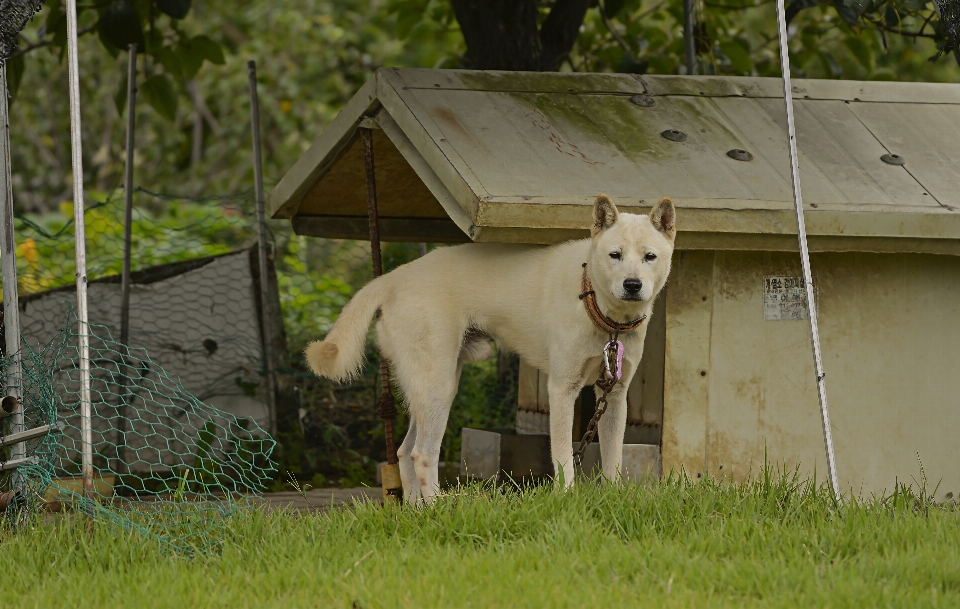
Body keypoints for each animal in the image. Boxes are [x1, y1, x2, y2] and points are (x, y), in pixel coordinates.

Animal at [308, 196, 676, 504]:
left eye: (649, 257)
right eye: (615, 255)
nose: (632, 285)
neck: (598, 308)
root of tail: (394, 277)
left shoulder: (614, 395)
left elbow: (612, 460)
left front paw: (612, 500)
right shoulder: (562, 390)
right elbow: (563, 457)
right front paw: (567, 498)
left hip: (429, 389)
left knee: (403, 452)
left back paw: (417, 512)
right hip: (440, 388)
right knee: (422, 454)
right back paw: (437, 508)